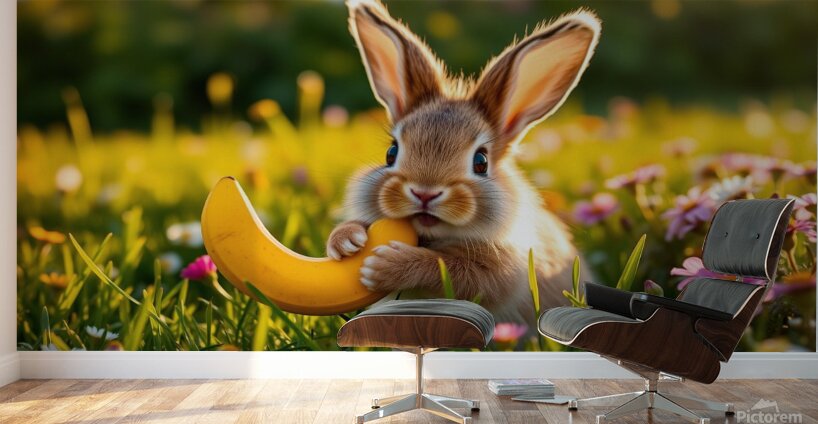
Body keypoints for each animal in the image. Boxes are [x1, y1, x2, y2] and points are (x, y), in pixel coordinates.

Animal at [328, 0, 600, 324]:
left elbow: (448, 271)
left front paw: (386, 266)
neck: (431, 236)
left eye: (481, 161)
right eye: (391, 153)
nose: (424, 193)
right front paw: (345, 241)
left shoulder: (497, 273)